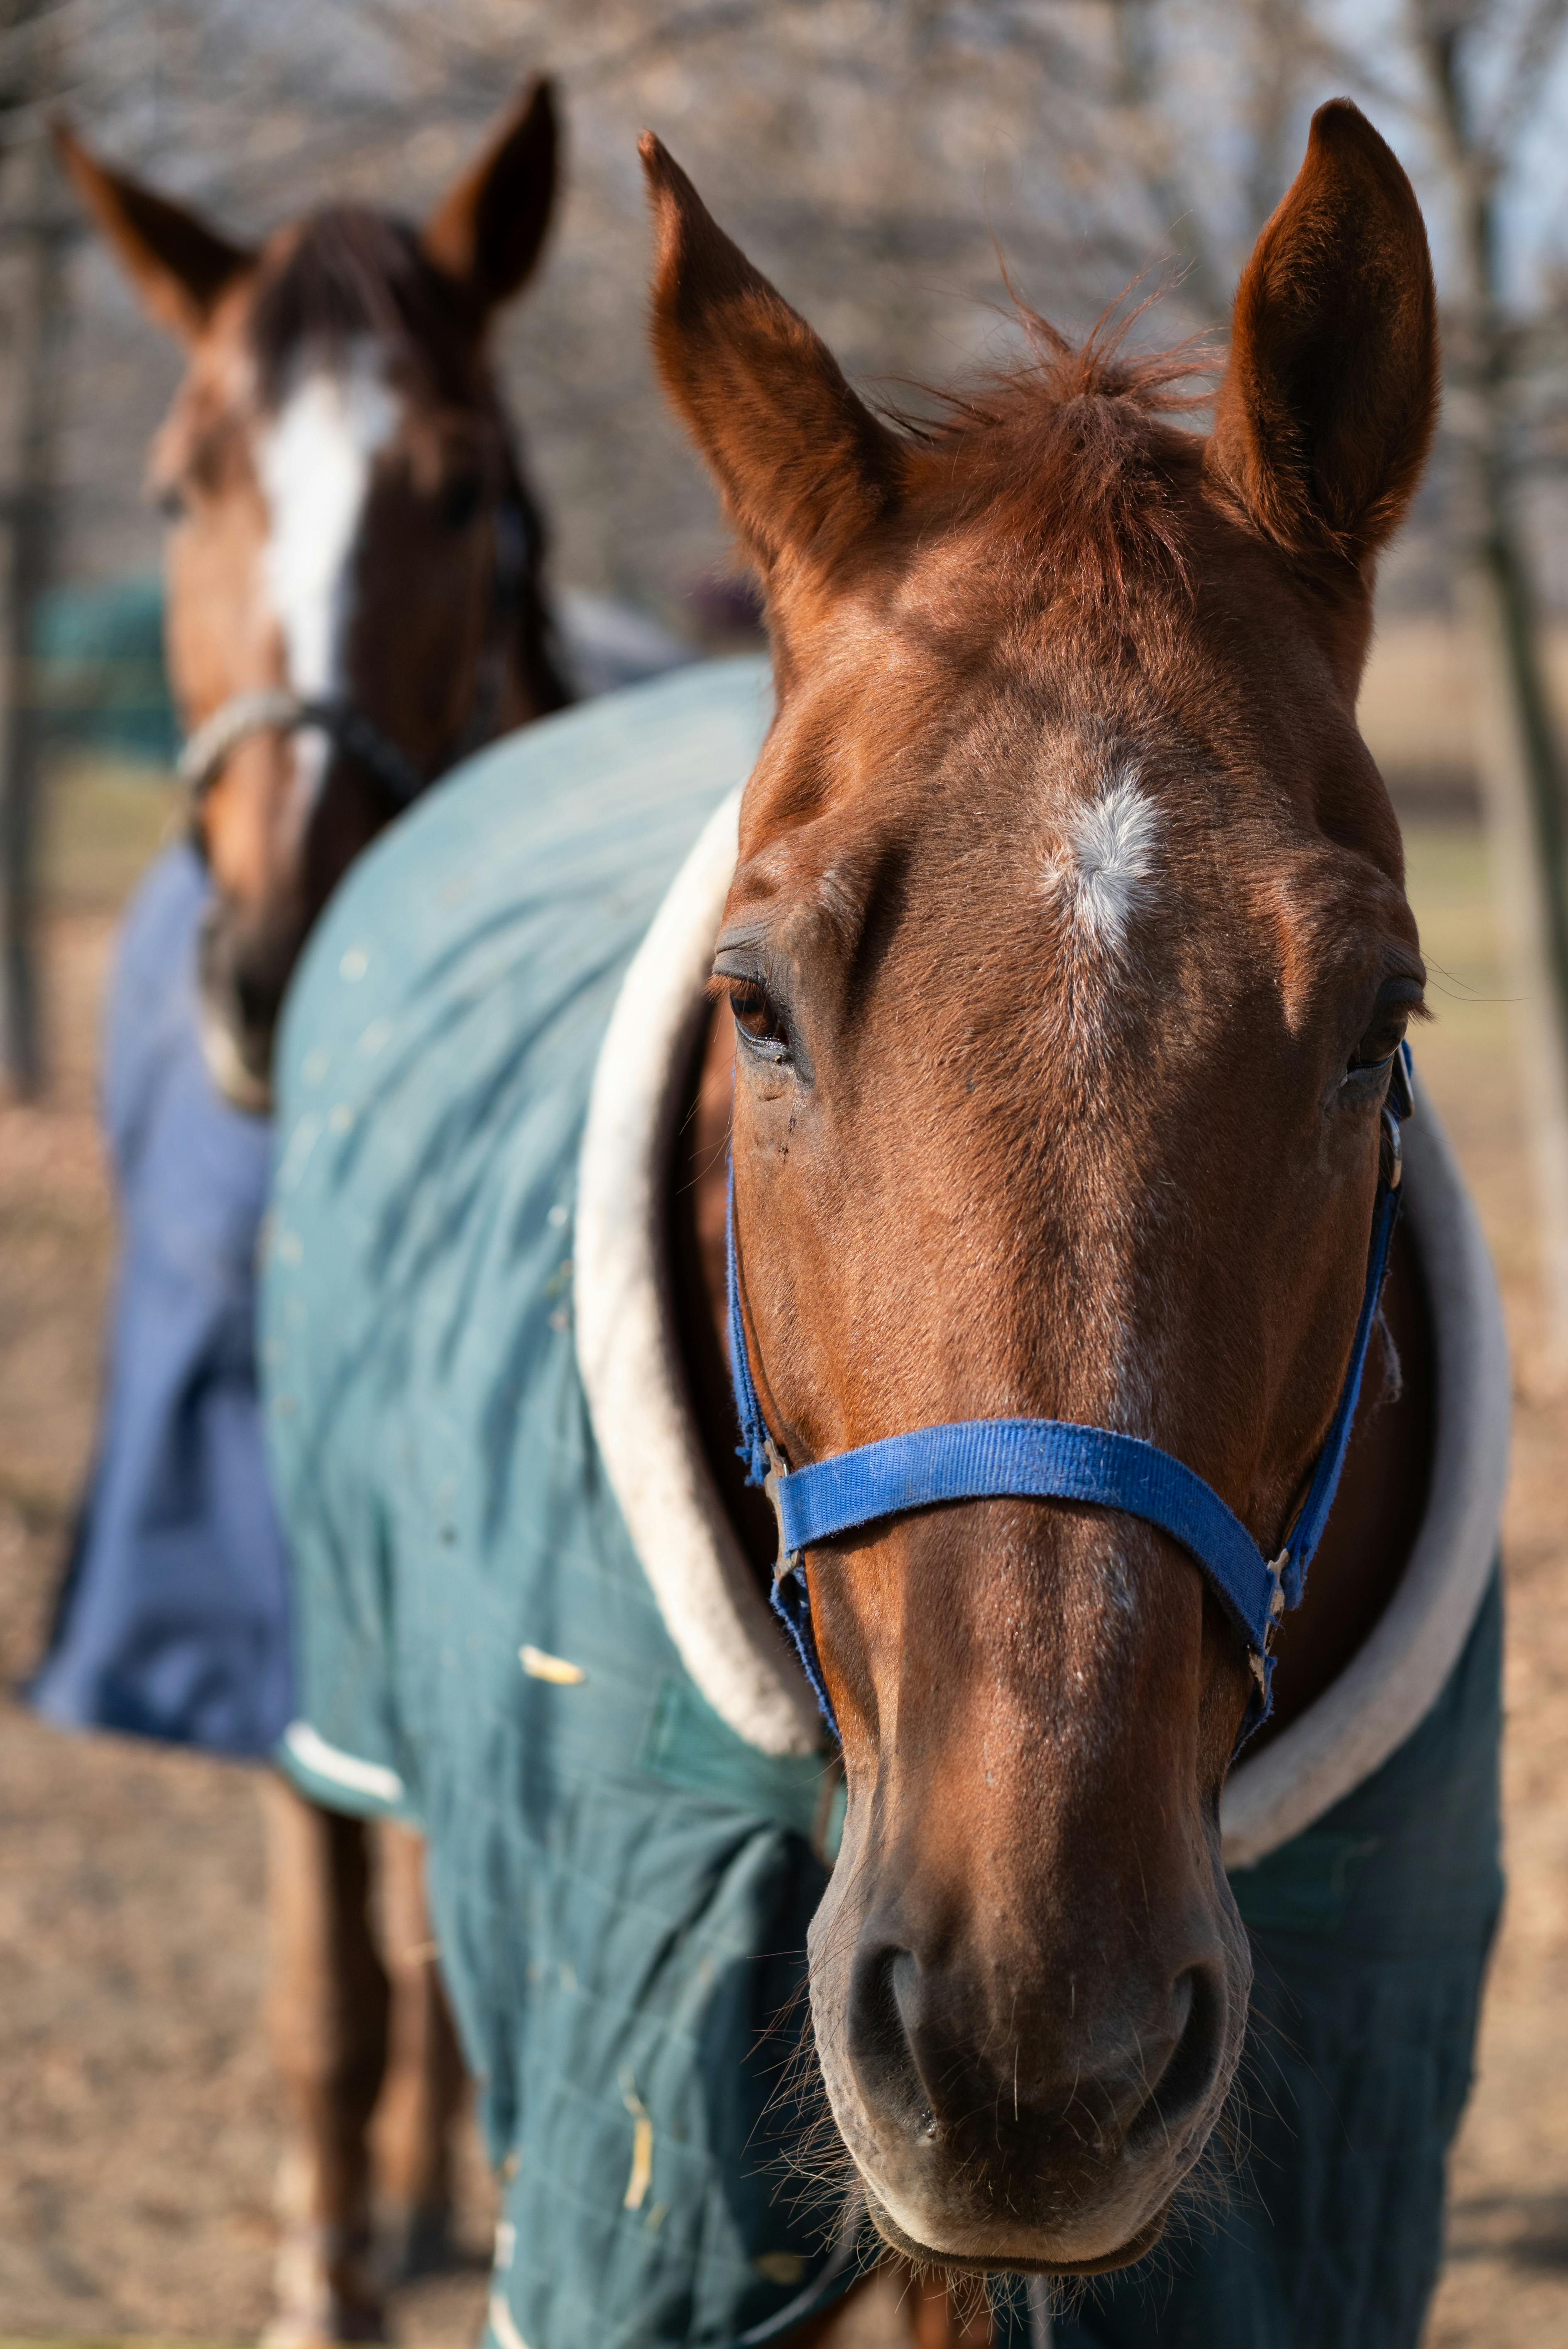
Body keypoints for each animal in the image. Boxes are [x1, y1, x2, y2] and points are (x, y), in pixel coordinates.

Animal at [32, 79, 606, 2345]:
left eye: (459, 495)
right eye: (178, 491)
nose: (272, 966)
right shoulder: (268, 1548)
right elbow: (319, 1994)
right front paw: (323, 2263)